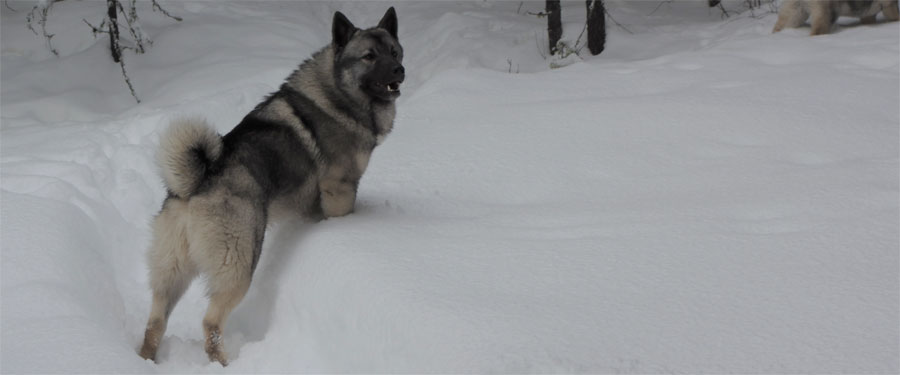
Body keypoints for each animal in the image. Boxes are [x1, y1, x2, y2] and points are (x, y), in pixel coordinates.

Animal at [138, 8, 404, 368]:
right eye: (369, 56)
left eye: (394, 51)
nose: (399, 70)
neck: (337, 93)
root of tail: (196, 182)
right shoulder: (340, 188)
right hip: (240, 262)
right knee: (211, 323)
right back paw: (225, 363)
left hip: (172, 272)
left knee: (155, 321)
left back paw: (147, 358)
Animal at [772, 0, 900, 35]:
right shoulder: (889, 5)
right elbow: (895, 16)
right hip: (826, 13)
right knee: (818, 30)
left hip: (796, 10)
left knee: (782, 24)